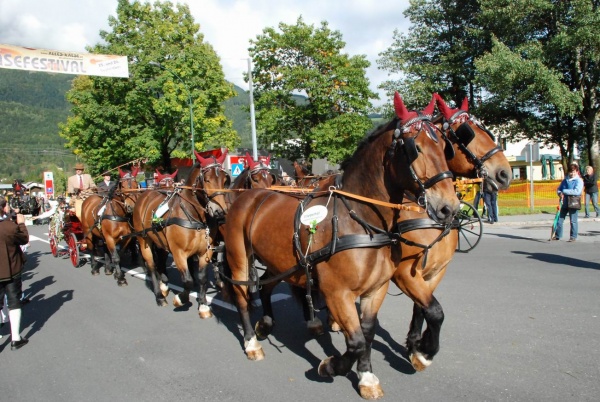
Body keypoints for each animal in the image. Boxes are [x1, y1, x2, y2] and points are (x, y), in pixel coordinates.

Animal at [134, 149, 230, 316]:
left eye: (225, 179)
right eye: (206, 179)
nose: (219, 212)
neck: (194, 214)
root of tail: (144, 195)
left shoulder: (205, 251)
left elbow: (202, 278)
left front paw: (203, 304)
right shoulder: (179, 253)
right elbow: (188, 280)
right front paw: (180, 299)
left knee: (160, 260)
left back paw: (164, 284)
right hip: (143, 239)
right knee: (151, 265)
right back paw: (159, 296)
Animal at [223, 93, 462, 398]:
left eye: (445, 147)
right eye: (415, 148)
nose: (448, 207)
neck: (360, 221)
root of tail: (247, 196)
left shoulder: (376, 289)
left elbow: (368, 333)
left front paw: (368, 375)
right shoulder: (338, 293)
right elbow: (356, 341)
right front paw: (331, 366)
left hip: (281, 263)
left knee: (265, 287)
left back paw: (265, 324)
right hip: (239, 258)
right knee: (242, 296)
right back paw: (252, 342)